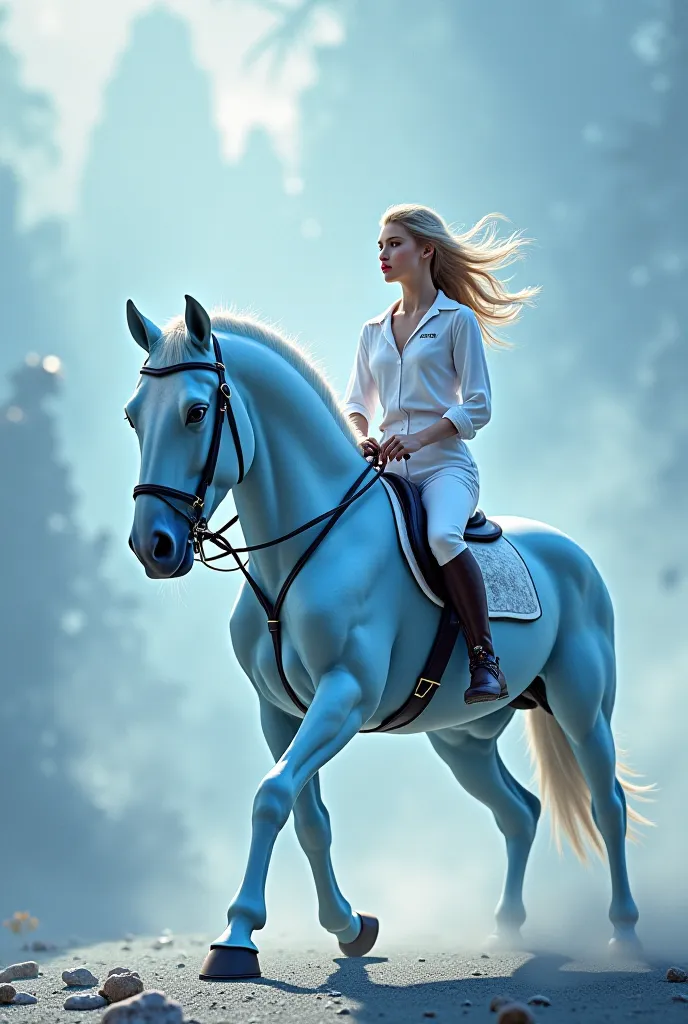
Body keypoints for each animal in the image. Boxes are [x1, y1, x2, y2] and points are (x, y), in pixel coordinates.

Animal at [126, 294, 651, 974]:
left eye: (194, 412)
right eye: (133, 416)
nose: (154, 547)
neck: (304, 548)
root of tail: (573, 554)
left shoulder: (345, 696)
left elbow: (271, 796)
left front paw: (236, 938)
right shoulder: (281, 713)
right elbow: (307, 816)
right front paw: (350, 927)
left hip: (582, 707)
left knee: (607, 804)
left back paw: (625, 936)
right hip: (463, 741)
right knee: (519, 813)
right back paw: (506, 931)